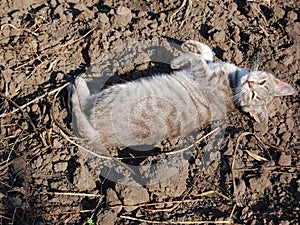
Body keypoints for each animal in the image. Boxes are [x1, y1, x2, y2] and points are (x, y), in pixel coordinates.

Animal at [68, 39, 296, 157]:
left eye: (255, 93)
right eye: (262, 84)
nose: (250, 84)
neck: (234, 82)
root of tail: (104, 137)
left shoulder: (201, 73)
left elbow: (196, 59)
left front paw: (178, 60)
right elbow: (206, 52)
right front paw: (191, 46)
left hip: (111, 93)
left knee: (81, 107)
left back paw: (76, 85)